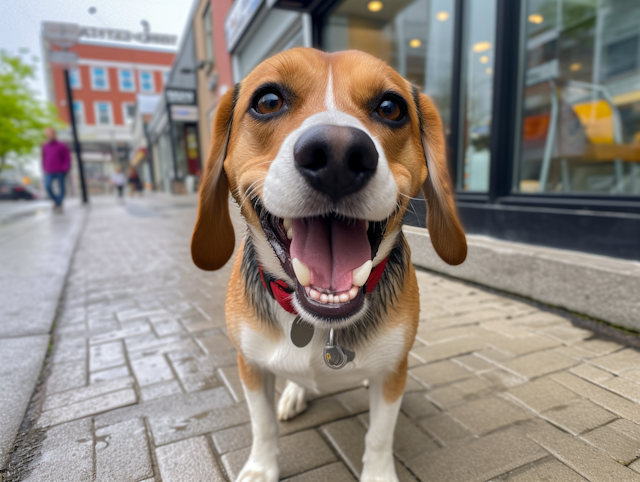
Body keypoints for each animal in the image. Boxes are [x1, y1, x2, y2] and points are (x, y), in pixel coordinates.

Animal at [190, 46, 464, 482]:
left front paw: (378, 474)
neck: (320, 325)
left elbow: (379, 435)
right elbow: (262, 424)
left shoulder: (393, 374)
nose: (338, 155)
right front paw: (261, 468)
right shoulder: (250, 365)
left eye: (391, 108)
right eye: (268, 101)